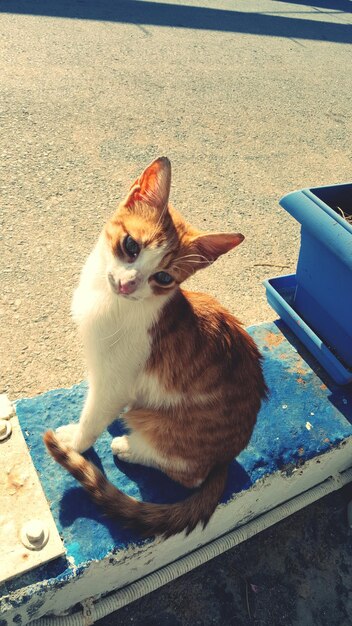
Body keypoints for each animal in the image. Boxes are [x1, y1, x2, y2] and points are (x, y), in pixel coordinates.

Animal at [45, 157, 268, 536]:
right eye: (131, 246)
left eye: (163, 278)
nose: (126, 283)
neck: (110, 302)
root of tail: (226, 458)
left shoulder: (114, 381)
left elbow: (93, 417)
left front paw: (75, 442)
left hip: (160, 425)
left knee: (188, 474)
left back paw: (129, 446)